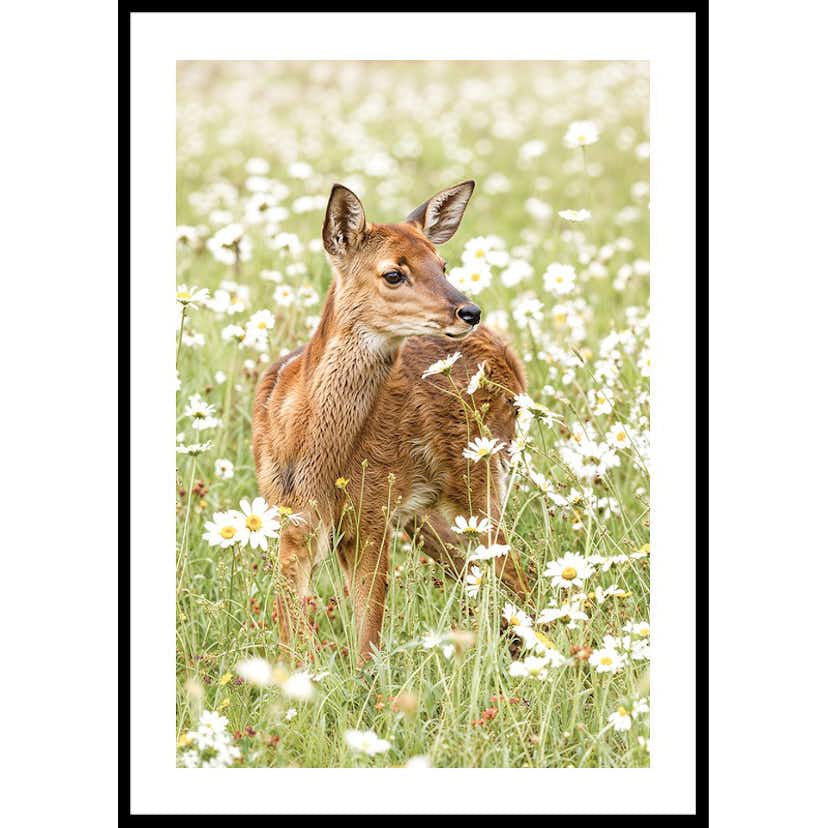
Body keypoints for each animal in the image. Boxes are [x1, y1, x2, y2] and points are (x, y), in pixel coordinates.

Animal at [253, 180, 529, 663]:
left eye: (442, 263)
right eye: (393, 273)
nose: (469, 311)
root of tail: (506, 354)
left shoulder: (371, 515)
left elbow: (368, 635)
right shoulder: (292, 519)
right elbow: (292, 630)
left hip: (481, 481)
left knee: (516, 572)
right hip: (428, 515)